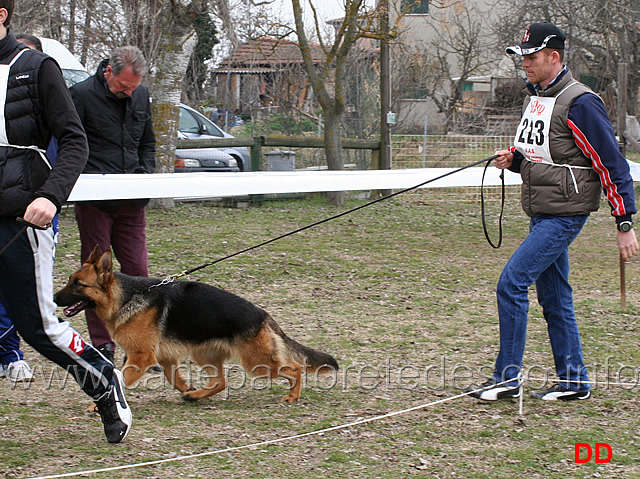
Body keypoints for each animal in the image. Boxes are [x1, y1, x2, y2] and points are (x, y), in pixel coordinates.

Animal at [53, 246, 340, 404]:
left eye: (78, 284)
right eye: (70, 280)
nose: (53, 298)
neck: (127, 297)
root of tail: (263, 315)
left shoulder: (141, 357)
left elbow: (119, 381)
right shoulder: (164, 358)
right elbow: (174, 378)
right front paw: (187, 389)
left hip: (256, 363)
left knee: (294, 369)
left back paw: (293, 396)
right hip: (206, 355)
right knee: (221, 382)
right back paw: (195, 396)